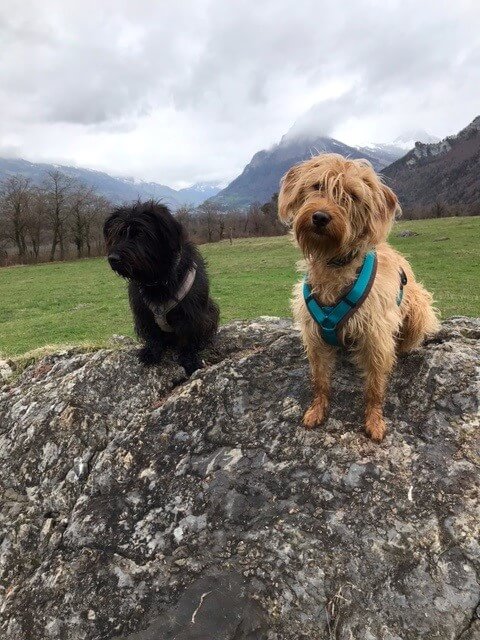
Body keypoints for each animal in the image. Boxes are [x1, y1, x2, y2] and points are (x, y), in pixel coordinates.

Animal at [104, 200, 219, 376]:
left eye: (140, 234)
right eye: (119, 234)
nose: (113, 258)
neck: (157, 280)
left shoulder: (190, 315)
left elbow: (187, 339)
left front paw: (190, 360)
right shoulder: (144, 314)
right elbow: (153, 335)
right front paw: (151, 353)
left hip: (211, 310)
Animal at [278, 154, 439, 442]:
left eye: (352, 196)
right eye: (317, 185)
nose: (320, 217)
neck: (335, 263)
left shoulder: (376, 334)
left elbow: (374, 385)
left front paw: (374, 419)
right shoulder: (313, 334)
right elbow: (320, 379)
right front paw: (318, 408)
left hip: (419, 306)